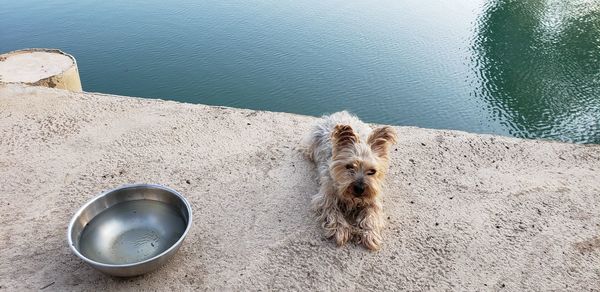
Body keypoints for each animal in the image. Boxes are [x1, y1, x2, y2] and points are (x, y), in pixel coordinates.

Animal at [302, 110, 396, 250]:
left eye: (372, 171)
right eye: (349, 166)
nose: (359, 189)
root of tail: (338, 114)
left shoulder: (373, 199)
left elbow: (371, 214)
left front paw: (370, 234)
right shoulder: (325, 198)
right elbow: (333, 212)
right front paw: (342, 230)